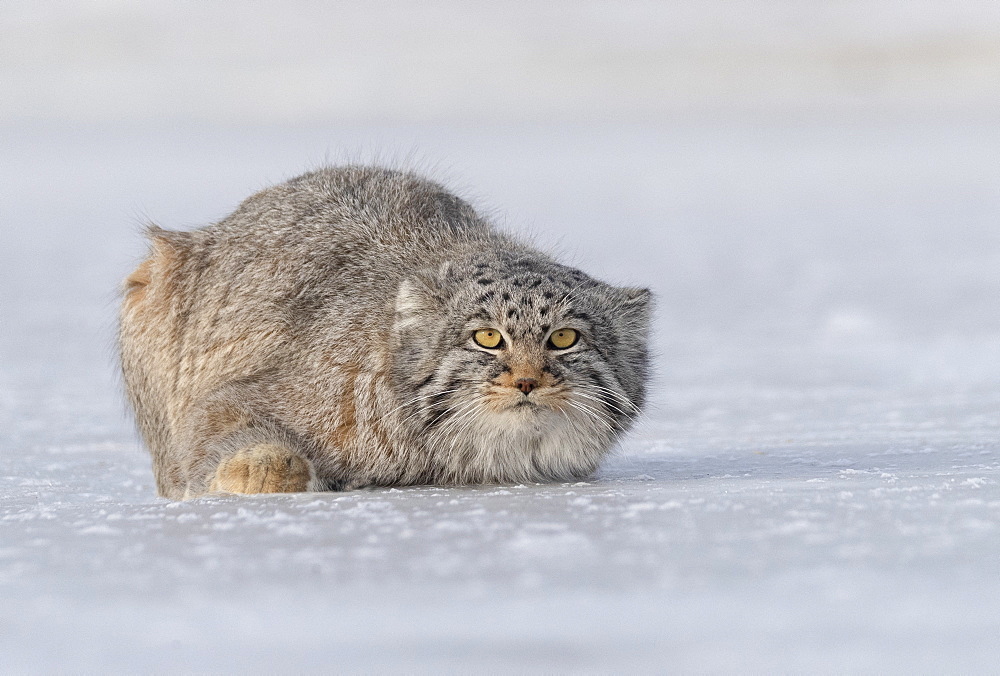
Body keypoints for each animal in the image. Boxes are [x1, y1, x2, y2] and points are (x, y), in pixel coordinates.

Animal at [117, 166, 652, 500]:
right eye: (487, 338)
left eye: (563, 339)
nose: (526, 381)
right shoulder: (241, 397)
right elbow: (227, 428)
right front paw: (258, 469)